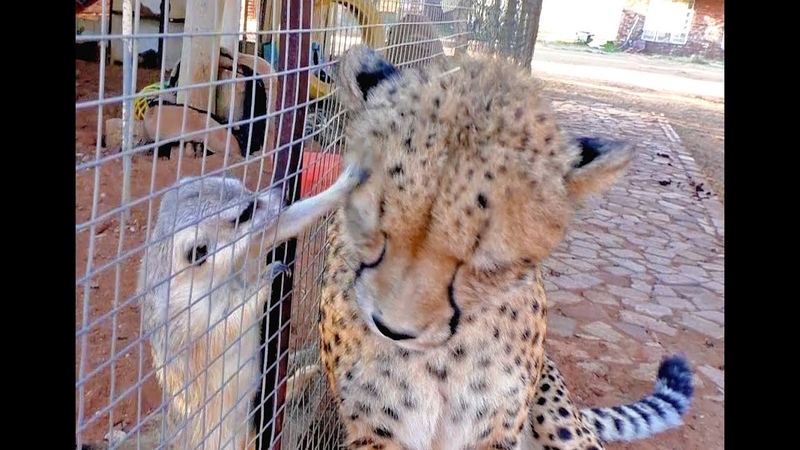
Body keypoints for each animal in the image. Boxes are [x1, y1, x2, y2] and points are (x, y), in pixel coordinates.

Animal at [314, 44, 692, 450]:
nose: (392, 329)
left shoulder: (496, 431)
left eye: (487, 265)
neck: (441, 360)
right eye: (371, 226)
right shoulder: (376, 433)